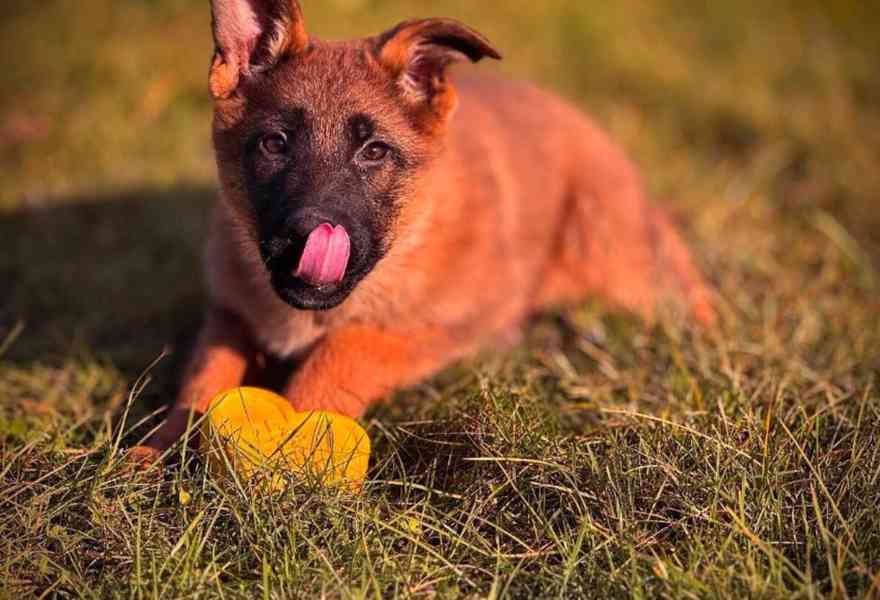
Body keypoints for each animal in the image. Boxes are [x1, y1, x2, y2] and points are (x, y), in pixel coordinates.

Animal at [129, 0, 716, 464]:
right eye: (275, 144)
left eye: (374, 152)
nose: (309, 235)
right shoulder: (229, 311)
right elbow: (202, 379)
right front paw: (156, 451)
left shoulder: (438, 325)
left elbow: (346, 348)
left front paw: (290, 437)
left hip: (625, 268)